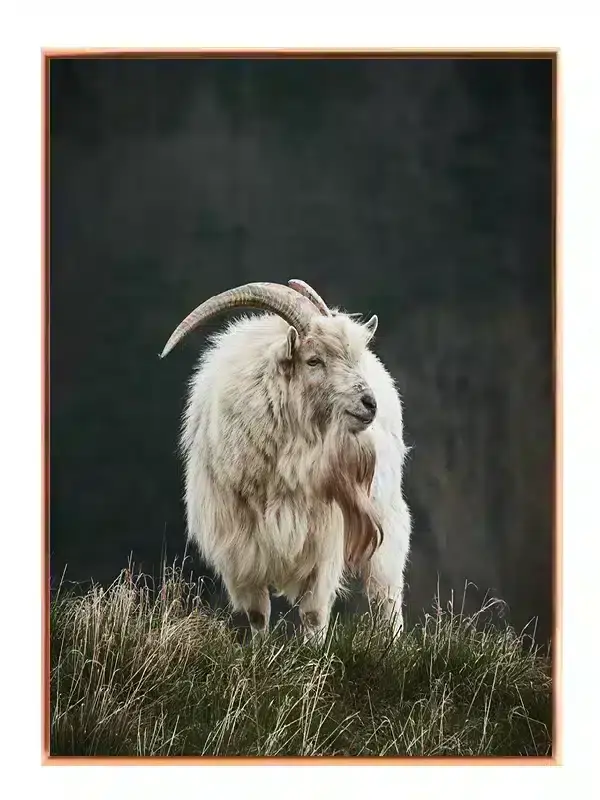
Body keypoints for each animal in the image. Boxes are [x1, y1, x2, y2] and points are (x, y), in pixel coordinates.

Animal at [160, 280, 412, 640]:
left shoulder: (324, 540)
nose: (369, 404)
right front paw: (260, 650)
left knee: (386, 597)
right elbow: (257, 614)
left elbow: (314, 615)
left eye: (352, 357)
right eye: (313, 360)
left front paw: (314, 653)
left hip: (387, 520)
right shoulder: (241, 548)